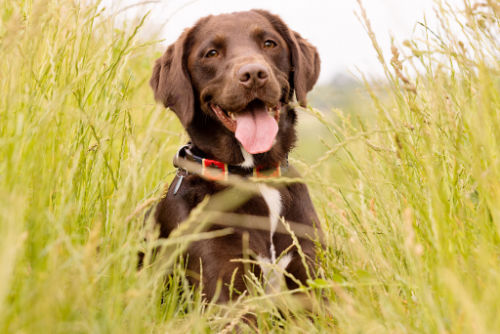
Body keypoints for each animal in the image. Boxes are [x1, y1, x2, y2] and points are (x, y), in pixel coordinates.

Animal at [150, 9, 320, 302]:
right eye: (211, 53)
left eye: (269, 43)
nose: (253, 73)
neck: (254, 175)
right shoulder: (223, 290)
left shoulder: (311, 279)